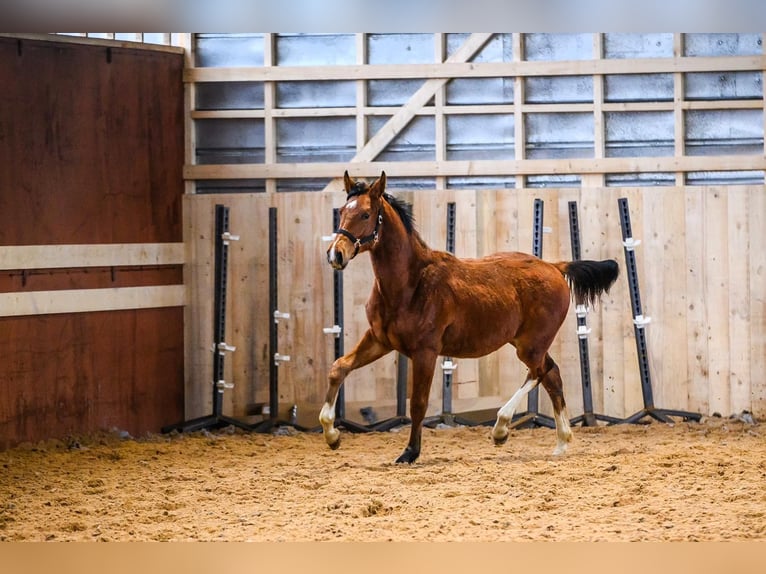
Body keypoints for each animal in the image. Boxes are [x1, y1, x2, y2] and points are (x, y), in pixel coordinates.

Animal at [320, 170, 620, 464]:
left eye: (365, 214)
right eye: (343, 211)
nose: (336, 254)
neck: (411, 283)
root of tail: (555, 267)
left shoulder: (425, 352)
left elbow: (418, 403)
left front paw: (410, 452)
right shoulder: (379, 340)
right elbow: (338, 368)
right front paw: (332, 436)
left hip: (530, 345)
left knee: (539, 372)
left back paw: (501, 428)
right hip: (526, 343)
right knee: (552, 375)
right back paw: (560, 443)